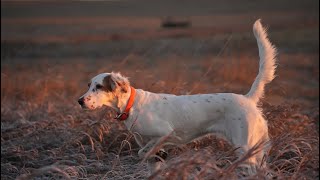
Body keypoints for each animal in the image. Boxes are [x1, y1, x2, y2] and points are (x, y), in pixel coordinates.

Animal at [79, 19, 276, 169]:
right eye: (89, 85)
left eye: (98, 86)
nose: (80, 101)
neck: (132, 105)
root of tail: (247, 98)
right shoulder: (146, 142)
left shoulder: (164, 133)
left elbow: (143, 152)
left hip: (244, 147)